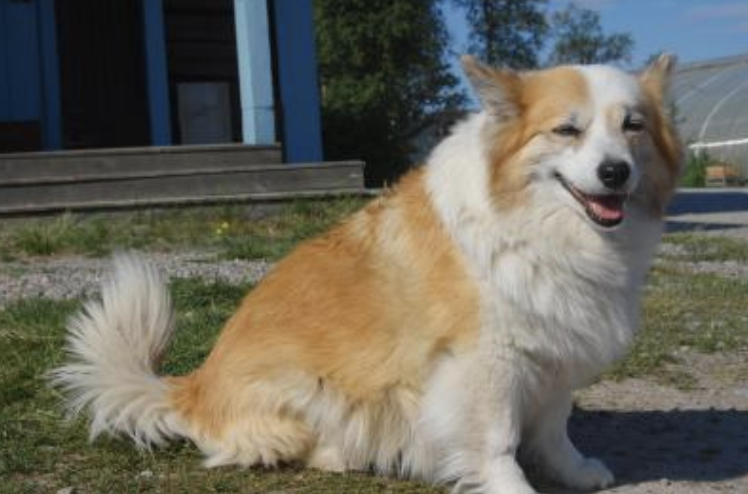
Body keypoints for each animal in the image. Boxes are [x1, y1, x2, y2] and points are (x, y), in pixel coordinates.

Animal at [51, 55, 684, 494]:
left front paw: (573, 471)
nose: (615, 172)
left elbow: (554, 428)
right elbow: (497, 440)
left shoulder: (554, 347)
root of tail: (191, 388)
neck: (540, 223)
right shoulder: (485, 361)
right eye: (566, 130)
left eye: (633, 126)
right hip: (309, 392)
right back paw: (344, 456)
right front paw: (512, 487)